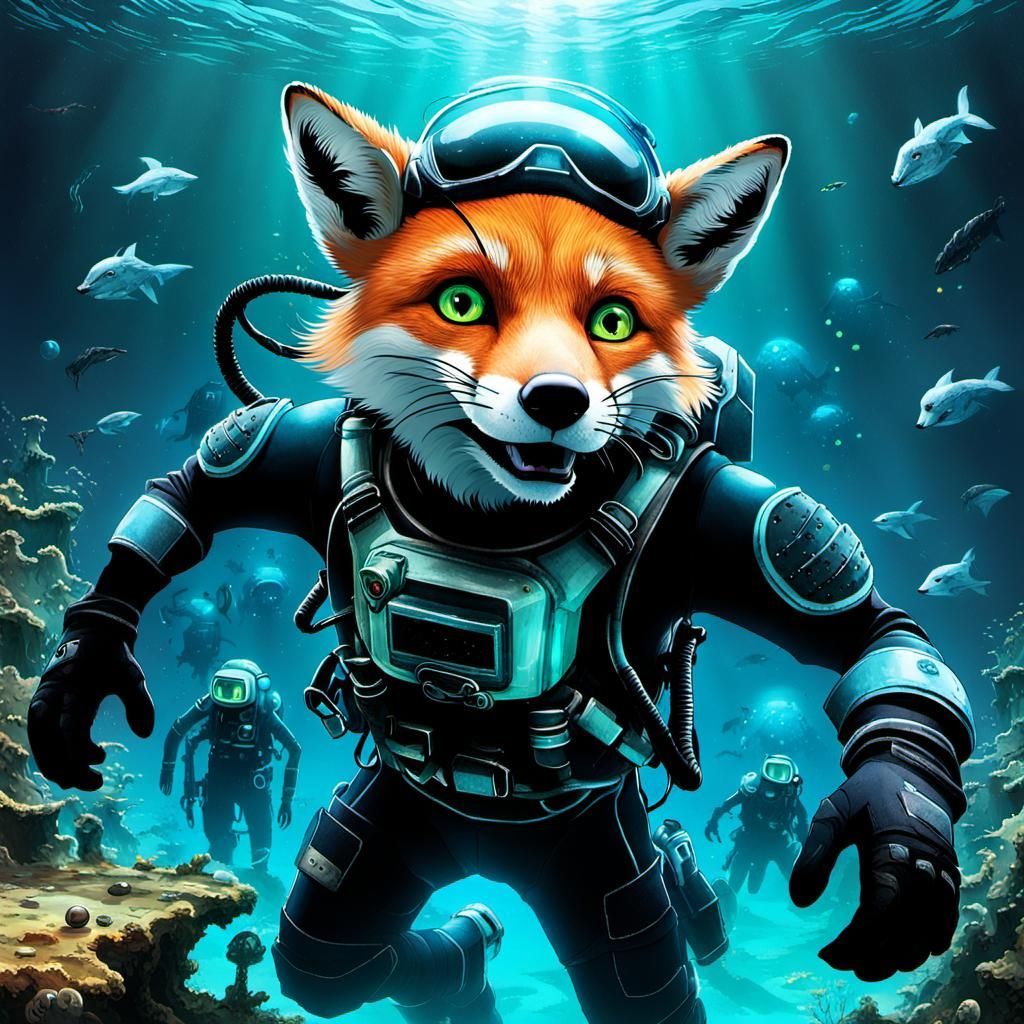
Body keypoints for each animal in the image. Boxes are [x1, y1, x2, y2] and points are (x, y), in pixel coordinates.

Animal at [30, 79, 974, 1024]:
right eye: (462, 303)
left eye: (613, 321)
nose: (556, 399)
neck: (488, 517)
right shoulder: (314, 444)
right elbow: (196, 490)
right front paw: (81, 675)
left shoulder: (724, 514)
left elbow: (873, 635)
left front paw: (898, 829)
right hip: (379, 841)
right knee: (325, 957)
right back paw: (469, 951)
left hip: (607, 875)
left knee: (644, 982)